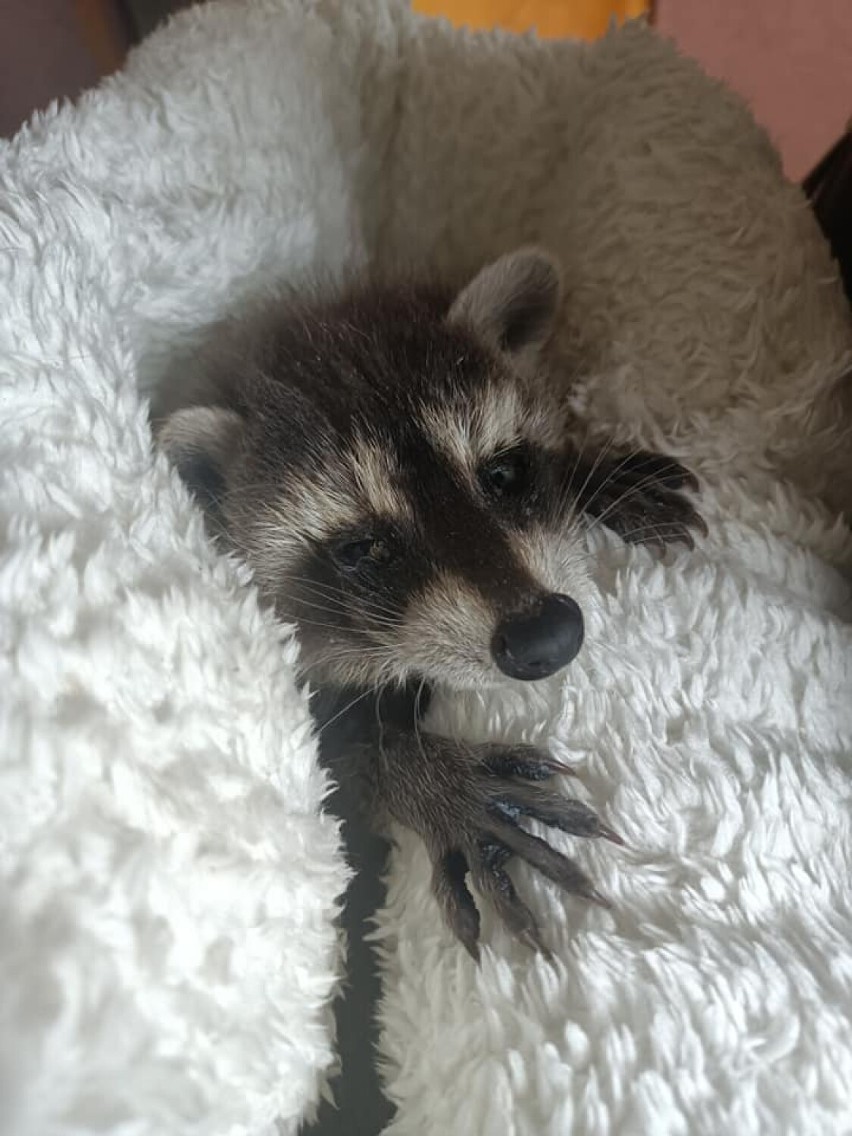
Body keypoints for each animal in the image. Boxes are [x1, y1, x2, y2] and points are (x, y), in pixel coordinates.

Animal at [156, 251, 704, 958]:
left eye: (503, 472)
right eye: (363, 548)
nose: (547, 636)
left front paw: (593, 473)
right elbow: (335, 781)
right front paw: (421, 776)